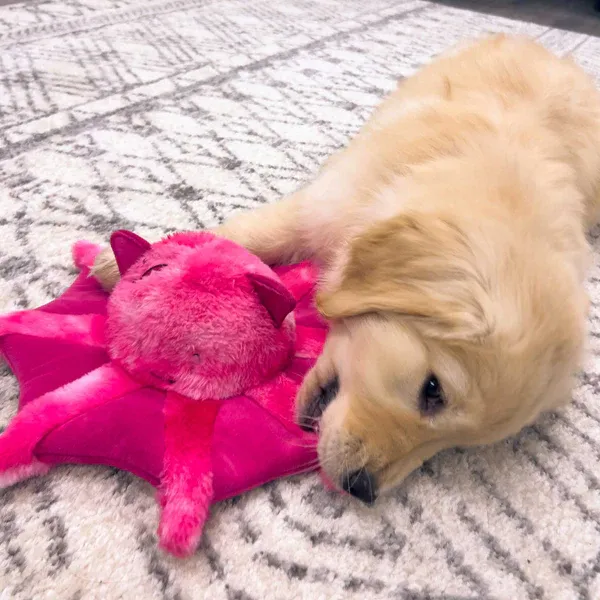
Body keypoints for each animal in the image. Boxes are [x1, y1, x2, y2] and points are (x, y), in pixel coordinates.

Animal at [94, 35, 600, 504]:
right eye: (432, 390)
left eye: (457, 446)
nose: (363, 490)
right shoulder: (325, 202)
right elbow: (255, 234)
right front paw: (128, 263)